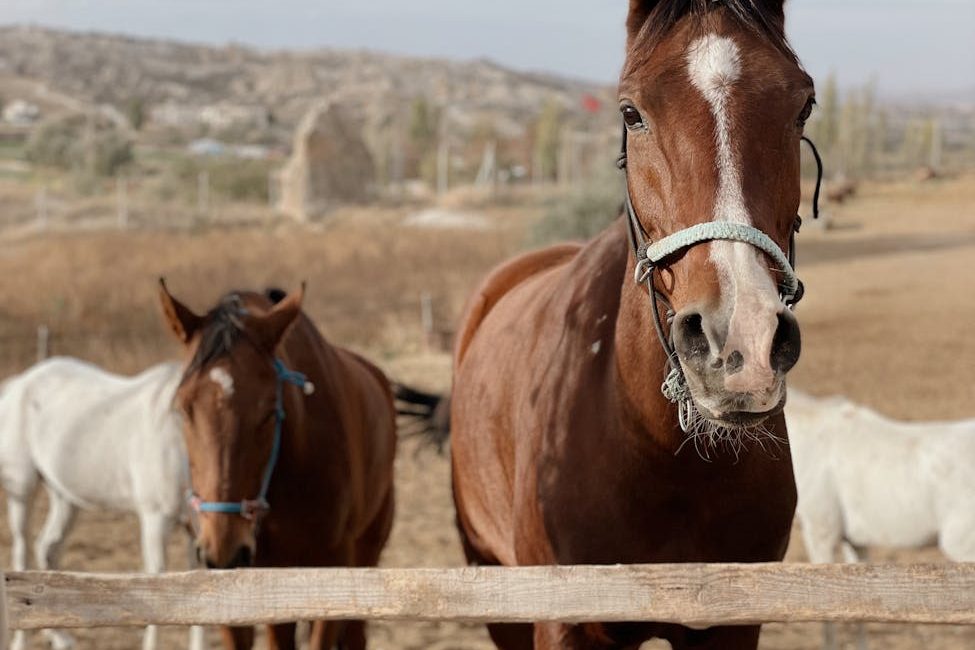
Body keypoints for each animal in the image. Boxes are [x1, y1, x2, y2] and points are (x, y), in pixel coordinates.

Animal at [0, 357, 204, 650]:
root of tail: (18, 384)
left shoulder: (196, 528)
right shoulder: (155, 519)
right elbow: (158, 579)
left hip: (64, 498)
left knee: (48, 548)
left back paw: (61, 637)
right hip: (22, 490)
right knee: (21, 553)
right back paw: (22, 641)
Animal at [442, 1, 818, 648]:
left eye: (804, 106)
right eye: (630, 111)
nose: (739, 342)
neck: (656, 449)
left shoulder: (731, 625)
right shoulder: (561, 624)